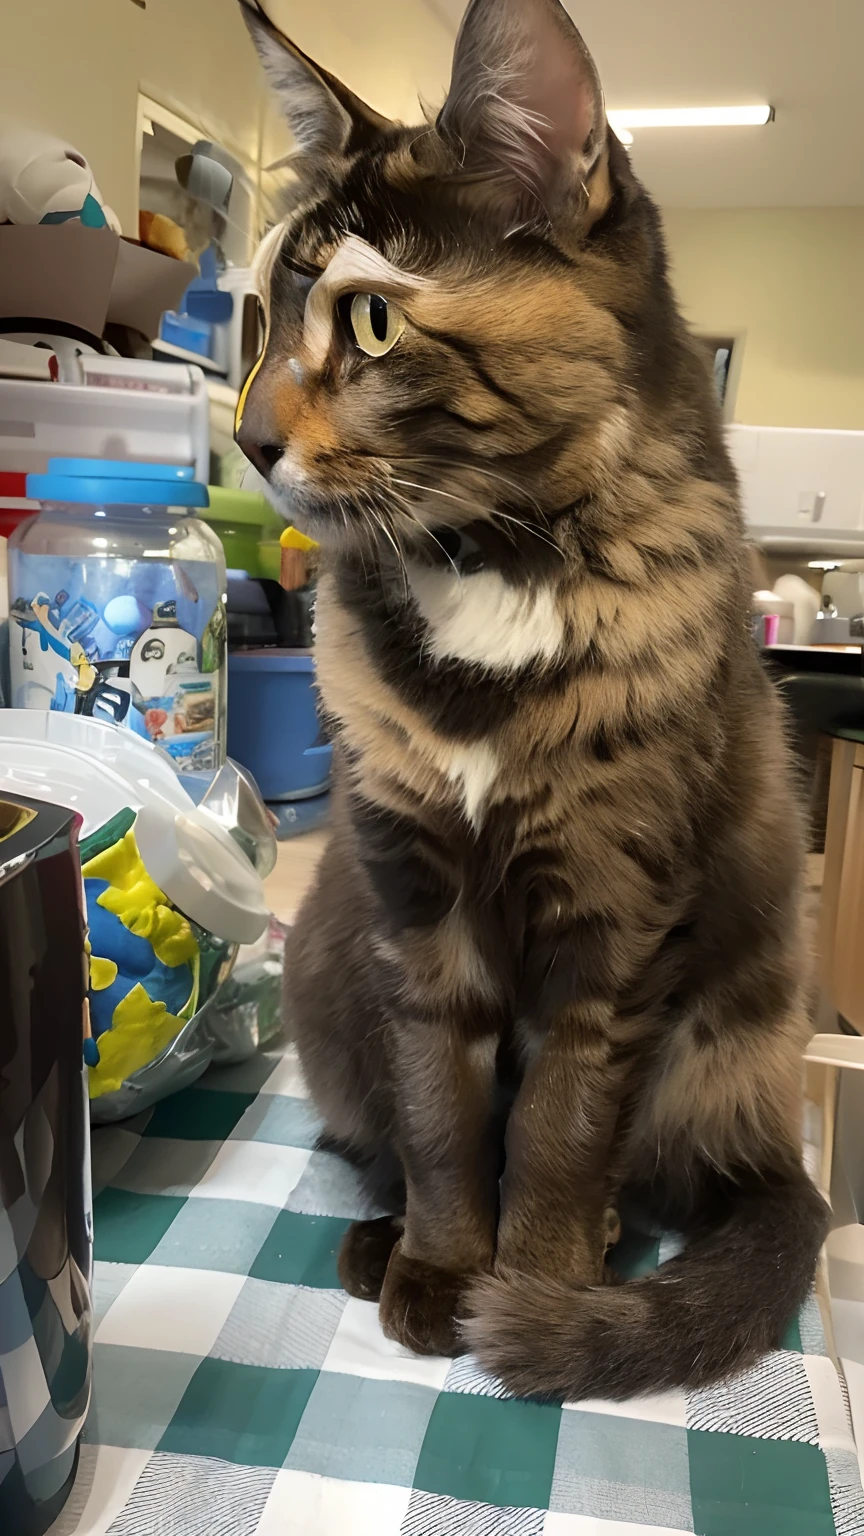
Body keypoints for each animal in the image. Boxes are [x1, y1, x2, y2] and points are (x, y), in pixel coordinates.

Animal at [236, 0, 830, 1400]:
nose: (245, 440)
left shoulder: (616, 914)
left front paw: (539, 1293)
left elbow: (559, 1128)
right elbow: (443, 1113)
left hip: (718, 1025)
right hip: (330, 965)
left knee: (657, 1173)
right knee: (381, 1132)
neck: (490, 567)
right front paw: (444, 1269)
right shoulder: (414, 900)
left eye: (371, 323)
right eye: (261, 319)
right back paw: (378, 1241)